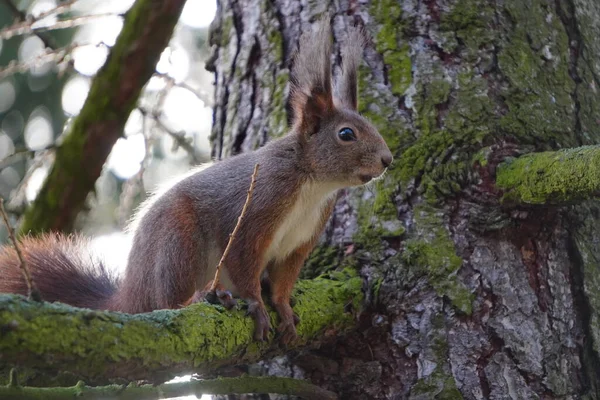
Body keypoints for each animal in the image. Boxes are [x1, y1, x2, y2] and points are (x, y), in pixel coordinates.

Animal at [0, 19, 394, 344]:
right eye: (346, 134)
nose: (388, 160)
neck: (312, 184)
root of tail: (131, 293)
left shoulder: (300, 241)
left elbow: (284, 279)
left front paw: (282, 307)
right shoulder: (257, 207)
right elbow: (243, 261)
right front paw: (257, 304)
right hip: (179, 242)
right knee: (171, 301)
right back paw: (203, 296)